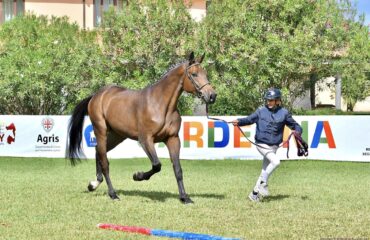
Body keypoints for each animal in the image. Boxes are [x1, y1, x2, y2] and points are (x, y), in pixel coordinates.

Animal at [68, 51, 215, 203]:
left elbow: (178, 169)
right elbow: (157, 165)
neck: (161, 105)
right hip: (101, 131)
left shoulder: (172, 139)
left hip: (117, 135)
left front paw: (184, 198)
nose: (211, 96)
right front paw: (137, 176)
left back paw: (94, 184)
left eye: (205, 73)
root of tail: (96, 96)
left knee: (98, 151)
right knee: (105, 162)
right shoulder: (145, 139)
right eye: (194, 74)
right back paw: (113, 194)